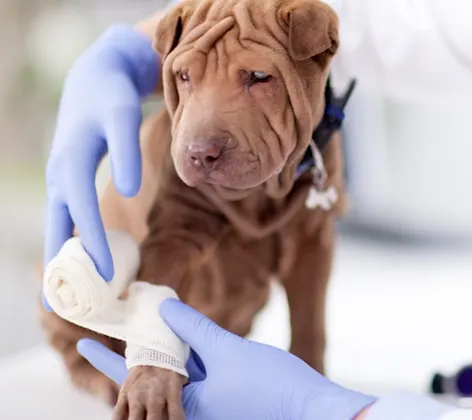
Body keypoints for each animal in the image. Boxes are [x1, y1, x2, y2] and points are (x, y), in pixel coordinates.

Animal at [38, 0, 348, 418]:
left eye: (261, 77)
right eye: (183, 76)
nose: (200, 153)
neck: (259, 196)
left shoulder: (313, 241)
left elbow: (309, 322)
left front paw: (313, 385)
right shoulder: (173, 234)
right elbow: (159, 304)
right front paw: (149, 388)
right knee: (75, 348)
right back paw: (101, 379)